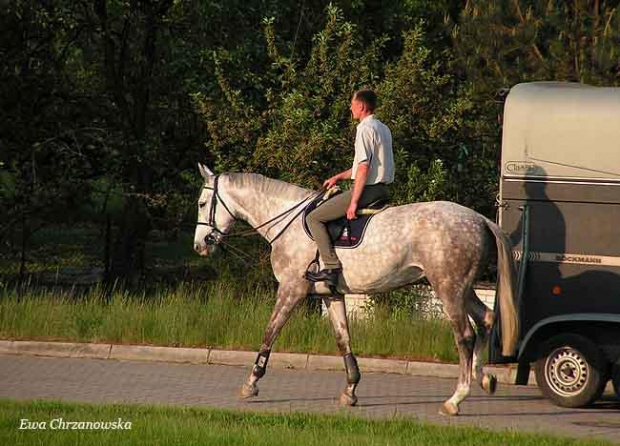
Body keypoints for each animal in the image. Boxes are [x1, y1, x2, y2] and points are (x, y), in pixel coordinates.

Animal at [194, 166, 520, 416]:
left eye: (201, 203)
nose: (199, 246)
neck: (288, 222)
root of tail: (479, 219)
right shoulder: (331, 294)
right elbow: (343, 340)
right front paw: (350, 390)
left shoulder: (291, 289)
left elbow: (269, 333)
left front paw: (251, 383)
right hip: (463, 288)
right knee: (486, 319)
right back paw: (484, 378)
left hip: (448, 288)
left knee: (465, 335)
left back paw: (456, 399)